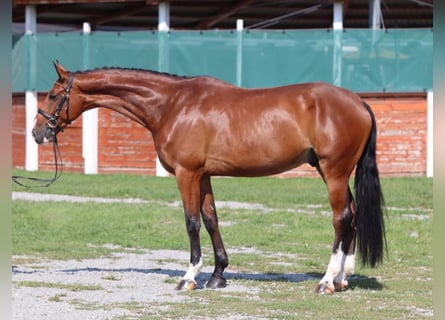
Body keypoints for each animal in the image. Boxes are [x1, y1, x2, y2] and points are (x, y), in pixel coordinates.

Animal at [32, 62, 386, 296]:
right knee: (353, 215)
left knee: (341, 218)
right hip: (335, 173)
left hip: (334, 172)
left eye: (52, 95)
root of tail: (358, 101)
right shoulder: (203, 175)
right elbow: (211, 219)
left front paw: (189, 276)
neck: (172, 105)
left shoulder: (186, 174)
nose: (37, 133)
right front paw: (217, 275)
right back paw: (342, 278)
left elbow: (191, 222)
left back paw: (327, 281)